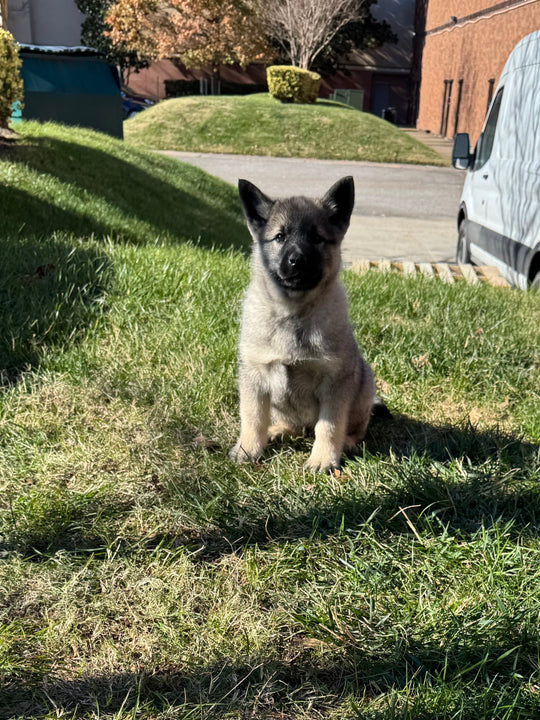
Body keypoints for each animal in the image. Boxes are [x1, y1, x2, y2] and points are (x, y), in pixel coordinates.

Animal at [230, 177, 378, 472]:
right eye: (280, 237)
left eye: (317, 238)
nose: (297, 261)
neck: (293, 312)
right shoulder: (253, 377)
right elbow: (252, 418)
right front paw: (248, 449)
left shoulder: (335, 383)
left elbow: (329, 426)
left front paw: (323, 458)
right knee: (292, 426)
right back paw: (277, 431)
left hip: (365, 385)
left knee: (355, 429)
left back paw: (348, 443)